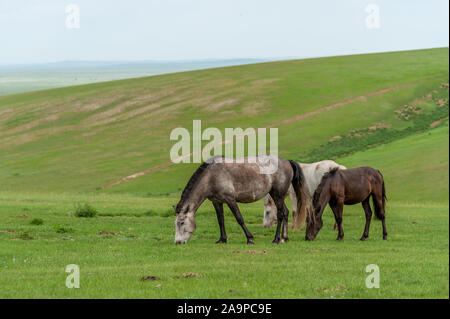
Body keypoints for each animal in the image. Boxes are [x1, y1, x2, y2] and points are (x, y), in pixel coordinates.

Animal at [173, 157, 310, 245]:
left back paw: (276, 239)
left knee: (281, 214)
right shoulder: (217, 202)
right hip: (276, 195)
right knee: (285, 212)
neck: (211, 176)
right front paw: (222, 239)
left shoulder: (230, 200)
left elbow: (239, 218)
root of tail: (287, 162)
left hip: (278, 195)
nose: (178, 242)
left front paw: (250, 239)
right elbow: (220, 221)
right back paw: (284, 238)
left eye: (181, 222)